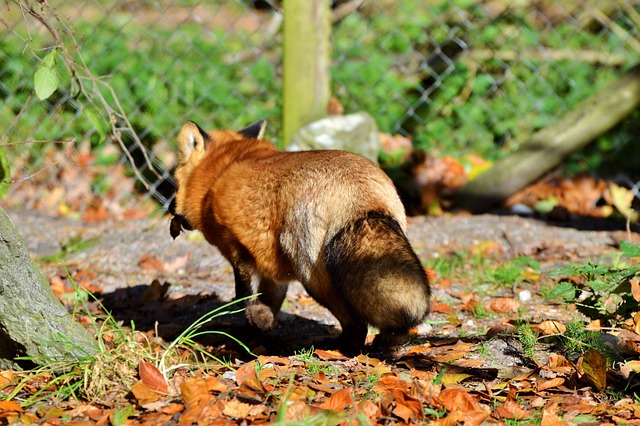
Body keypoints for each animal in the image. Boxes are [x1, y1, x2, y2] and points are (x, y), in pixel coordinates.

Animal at [170, 120, 430, 352]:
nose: (173, 212)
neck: (218, 176)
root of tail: (359, 193)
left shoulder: (239, 251)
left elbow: (243, 300)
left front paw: (247, 333)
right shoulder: (271, 268)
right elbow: (270, 304)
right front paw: (262, 331)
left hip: (312, 277)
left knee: (356, 326)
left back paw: (339, 348)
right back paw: (390, 340)